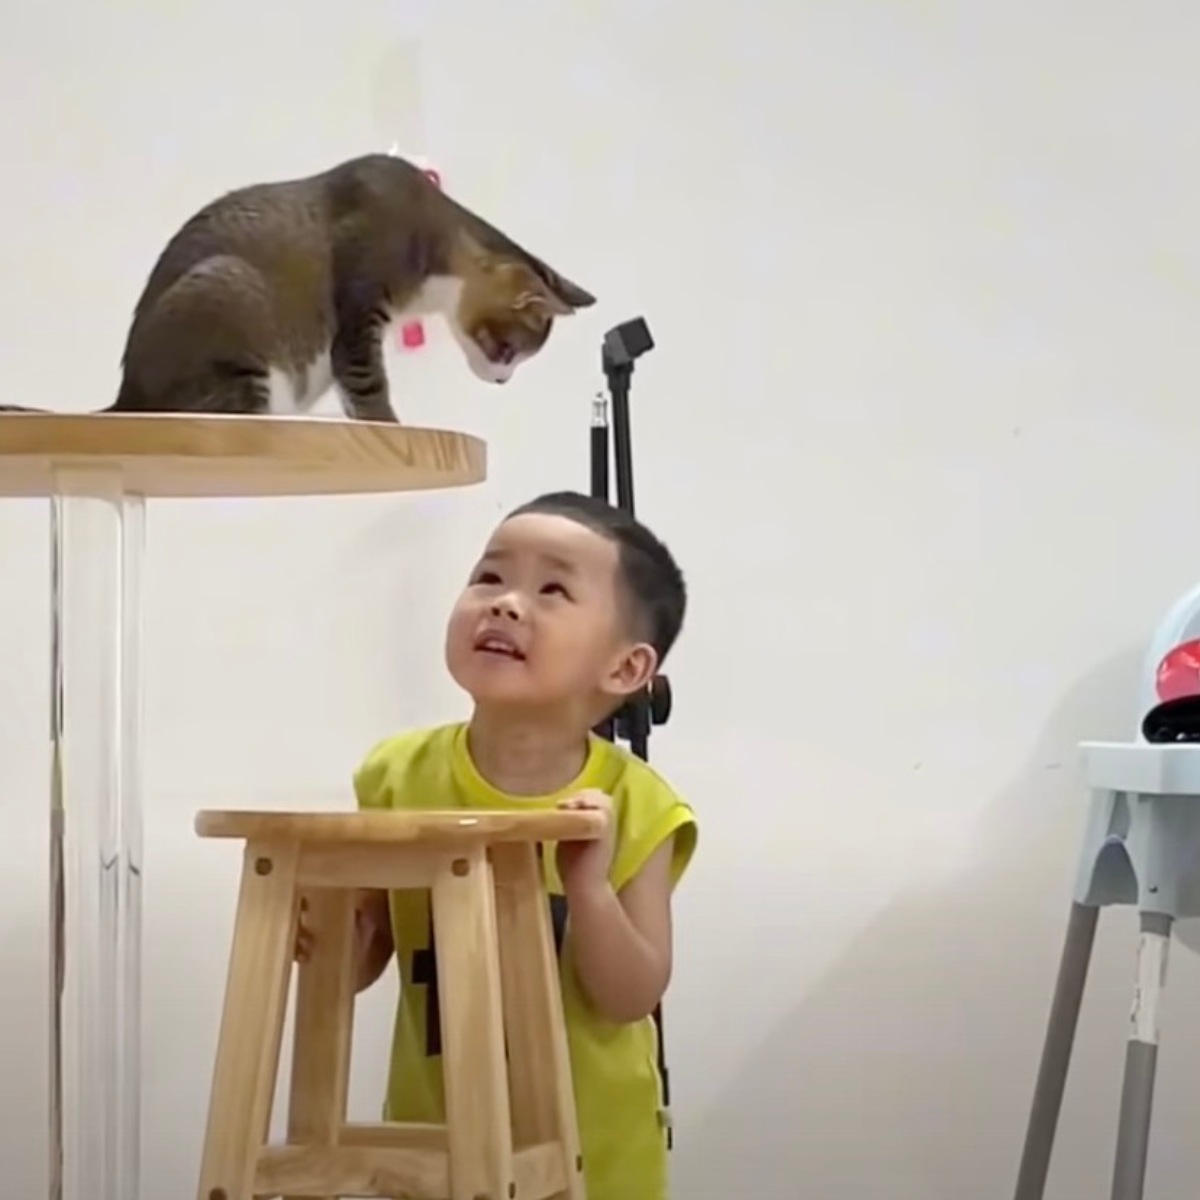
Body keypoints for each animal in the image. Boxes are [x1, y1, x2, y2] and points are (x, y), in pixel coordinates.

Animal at [0, 153, 595, 422]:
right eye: (509, 350)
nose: (502, 383)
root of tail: (127, 400)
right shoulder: (359, 304)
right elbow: (366, 382)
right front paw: (392, 427)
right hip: (228, 292)